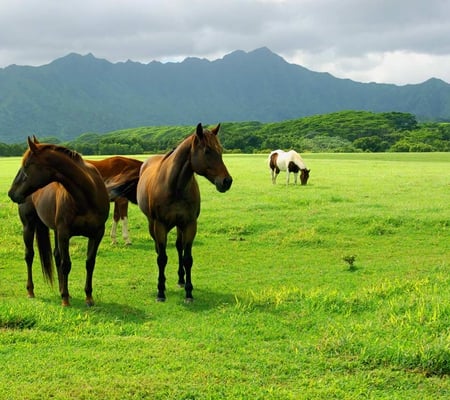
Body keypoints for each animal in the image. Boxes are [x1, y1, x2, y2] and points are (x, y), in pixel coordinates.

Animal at [7, 138, 110, 306]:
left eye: (27, 165)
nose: (11, 193)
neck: (86, 196)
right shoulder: (64, 233)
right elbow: (66, 264)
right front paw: (65, 299)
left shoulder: (97, 233)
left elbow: (90, 263)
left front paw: (88, 297)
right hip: (28, 226)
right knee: (29, 256)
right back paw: (31, 291)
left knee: (56, 256)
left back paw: (62, 289)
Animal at [116, 123, 232, 302]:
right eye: (207, 151)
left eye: (220, 150)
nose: (227, 181)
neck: (175, 186)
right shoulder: (160, 225)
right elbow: (162, 258)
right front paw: (160, 291)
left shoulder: (189, 224)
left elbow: (187, 258)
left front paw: (189, 292)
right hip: (152, 224)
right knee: (159, 249)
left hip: (179, 225)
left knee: (179, 247)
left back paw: (181, 280)